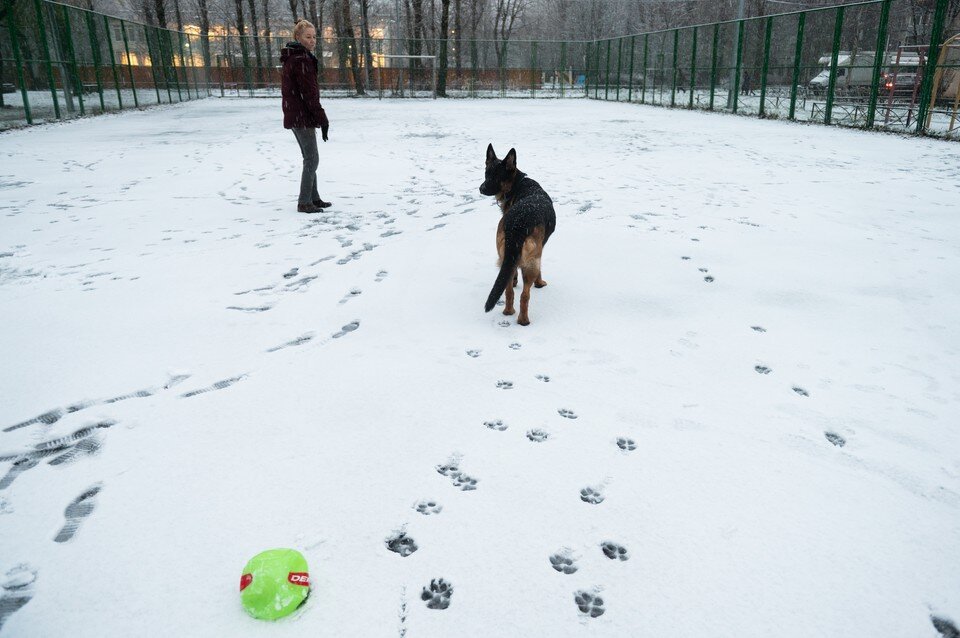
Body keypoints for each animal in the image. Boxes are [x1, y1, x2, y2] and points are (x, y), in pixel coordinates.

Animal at [480, 144, 556, 324]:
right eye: (487, 174)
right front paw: (540, 283)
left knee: (508, 290)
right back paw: (523, 320)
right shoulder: (539, 252)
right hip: (531, 263)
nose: (481, 188)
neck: (518, 184)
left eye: (495, 176)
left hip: (503, 256)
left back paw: (508, 311)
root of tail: (518, 224)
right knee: (525, 295)